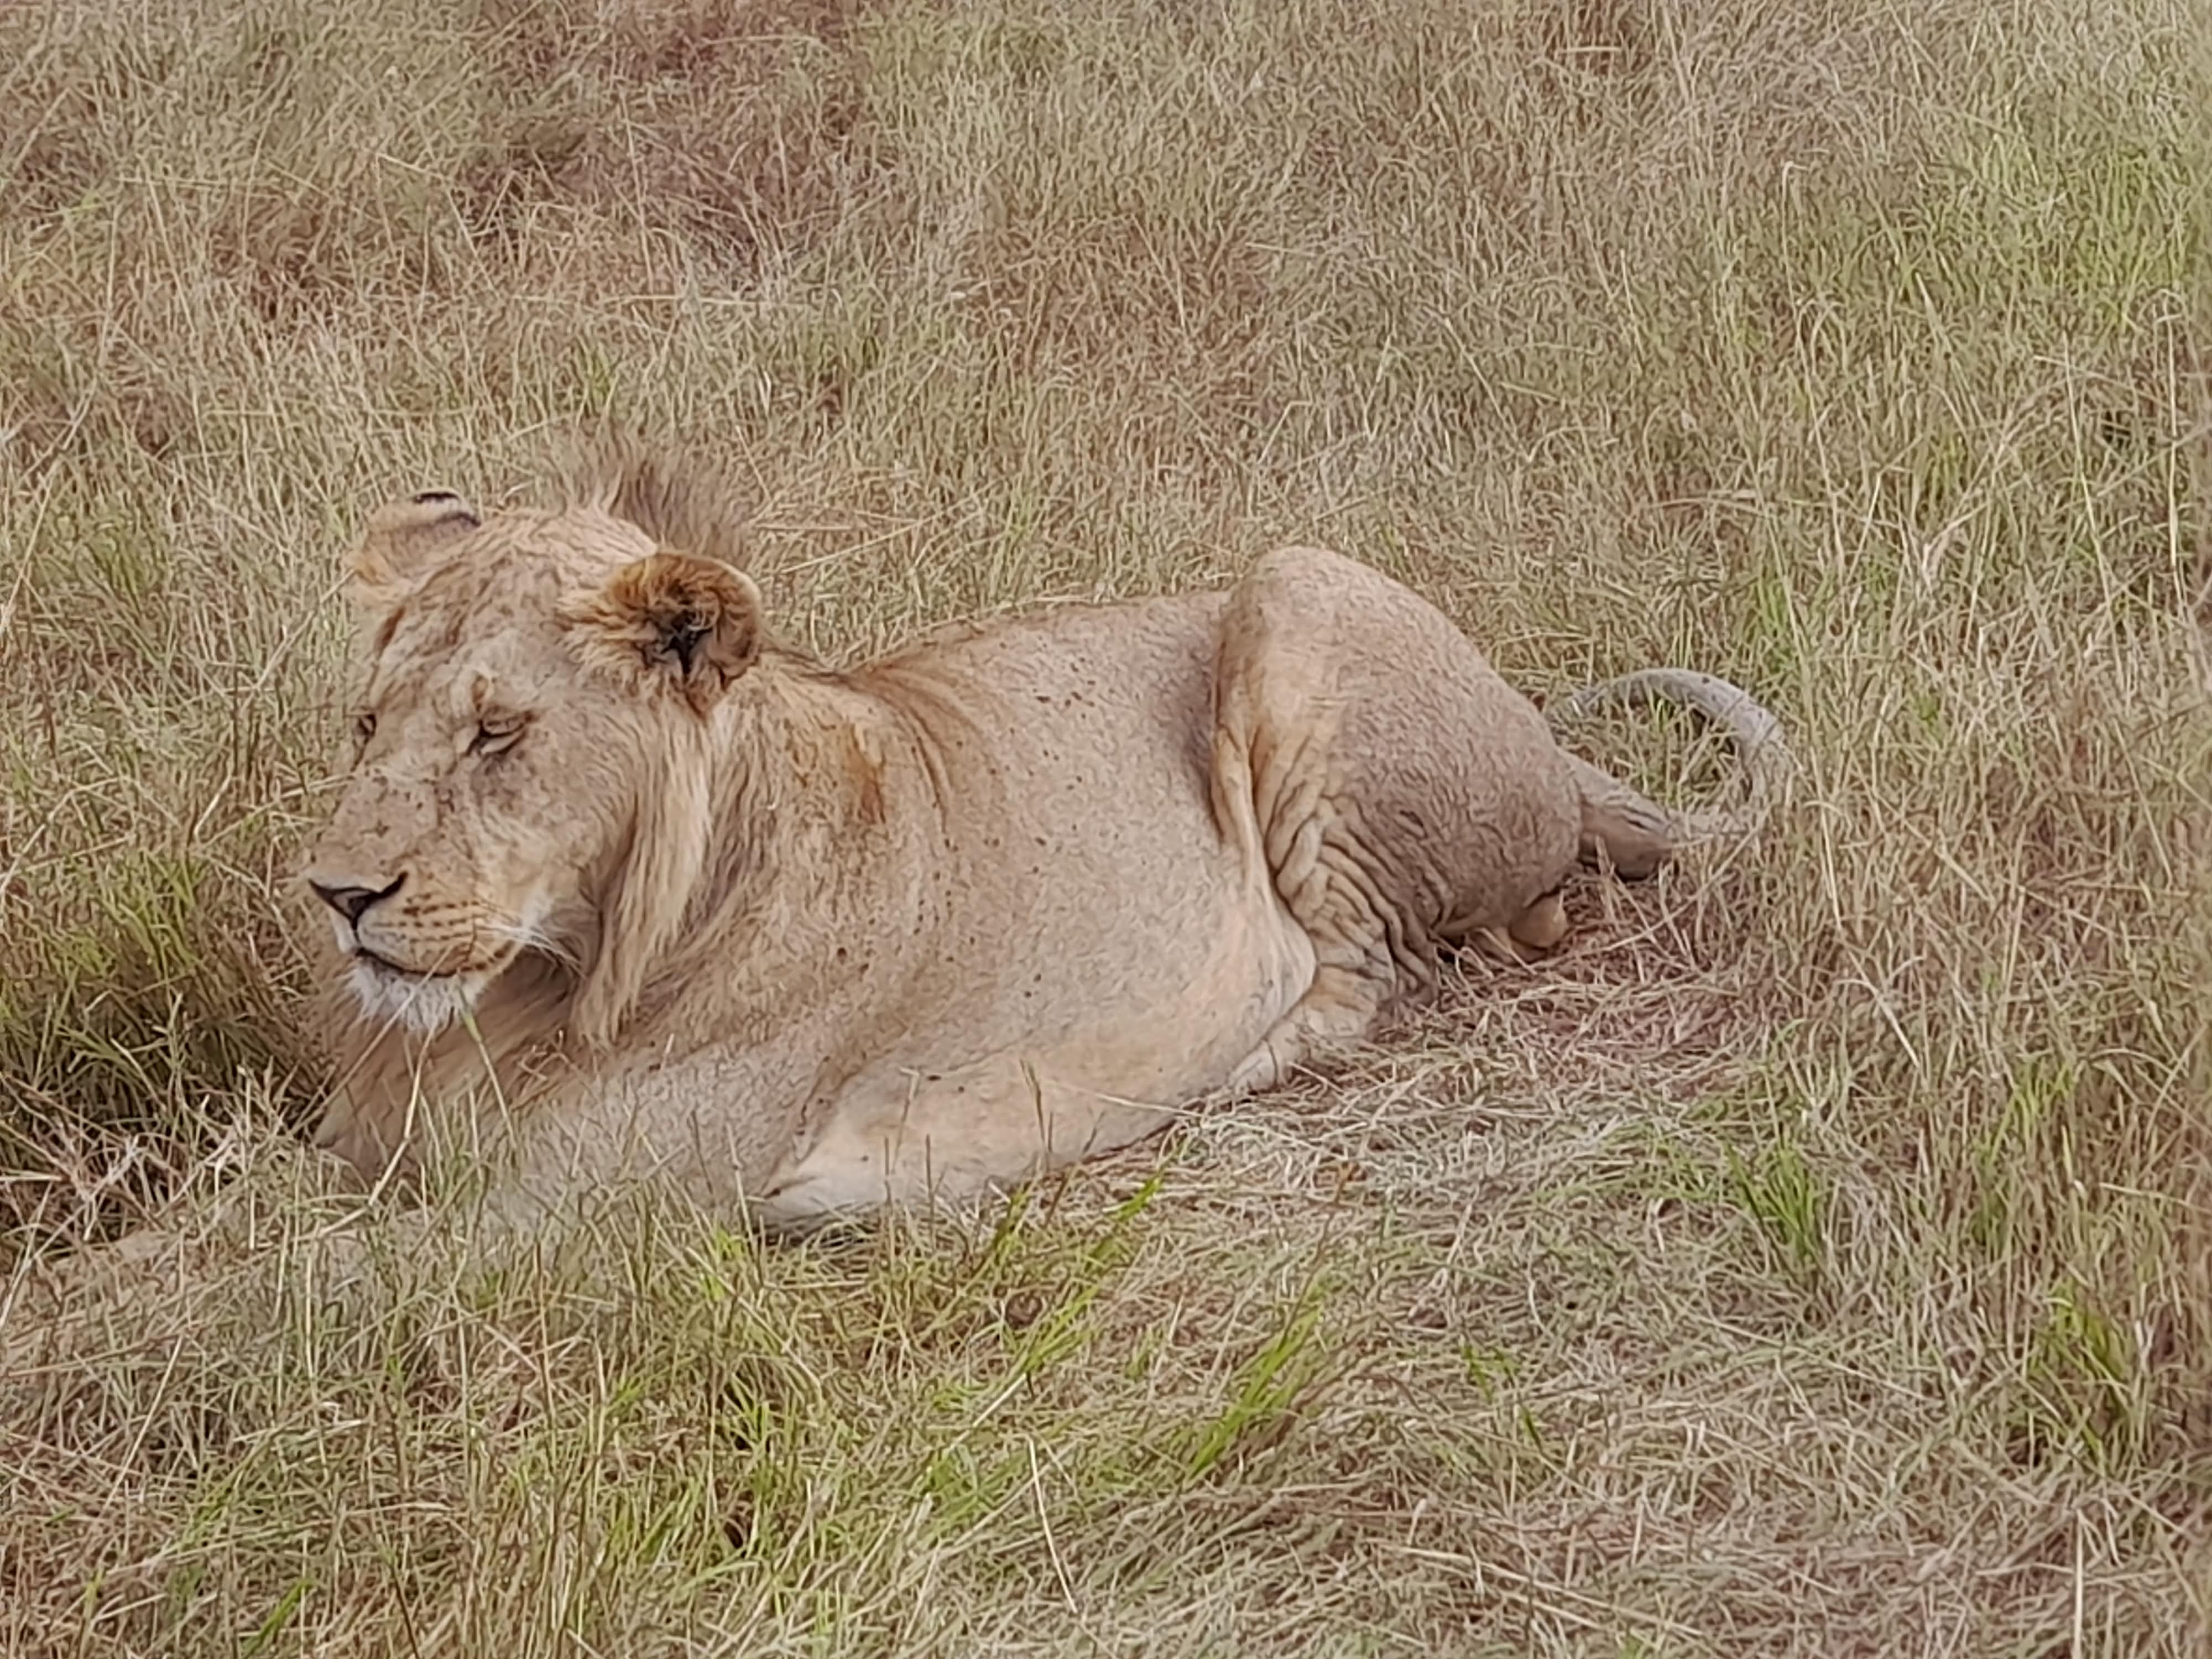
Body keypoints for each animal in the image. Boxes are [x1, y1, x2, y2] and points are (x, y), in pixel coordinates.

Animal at [299, 444, 1788, 1241]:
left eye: (498, 734)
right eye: (369, 722)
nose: (338, 894)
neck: (539, 983)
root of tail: (1538, 727)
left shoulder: (570, 1224)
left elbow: (285, 1282)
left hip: (1293, 585)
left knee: (1381, 970)